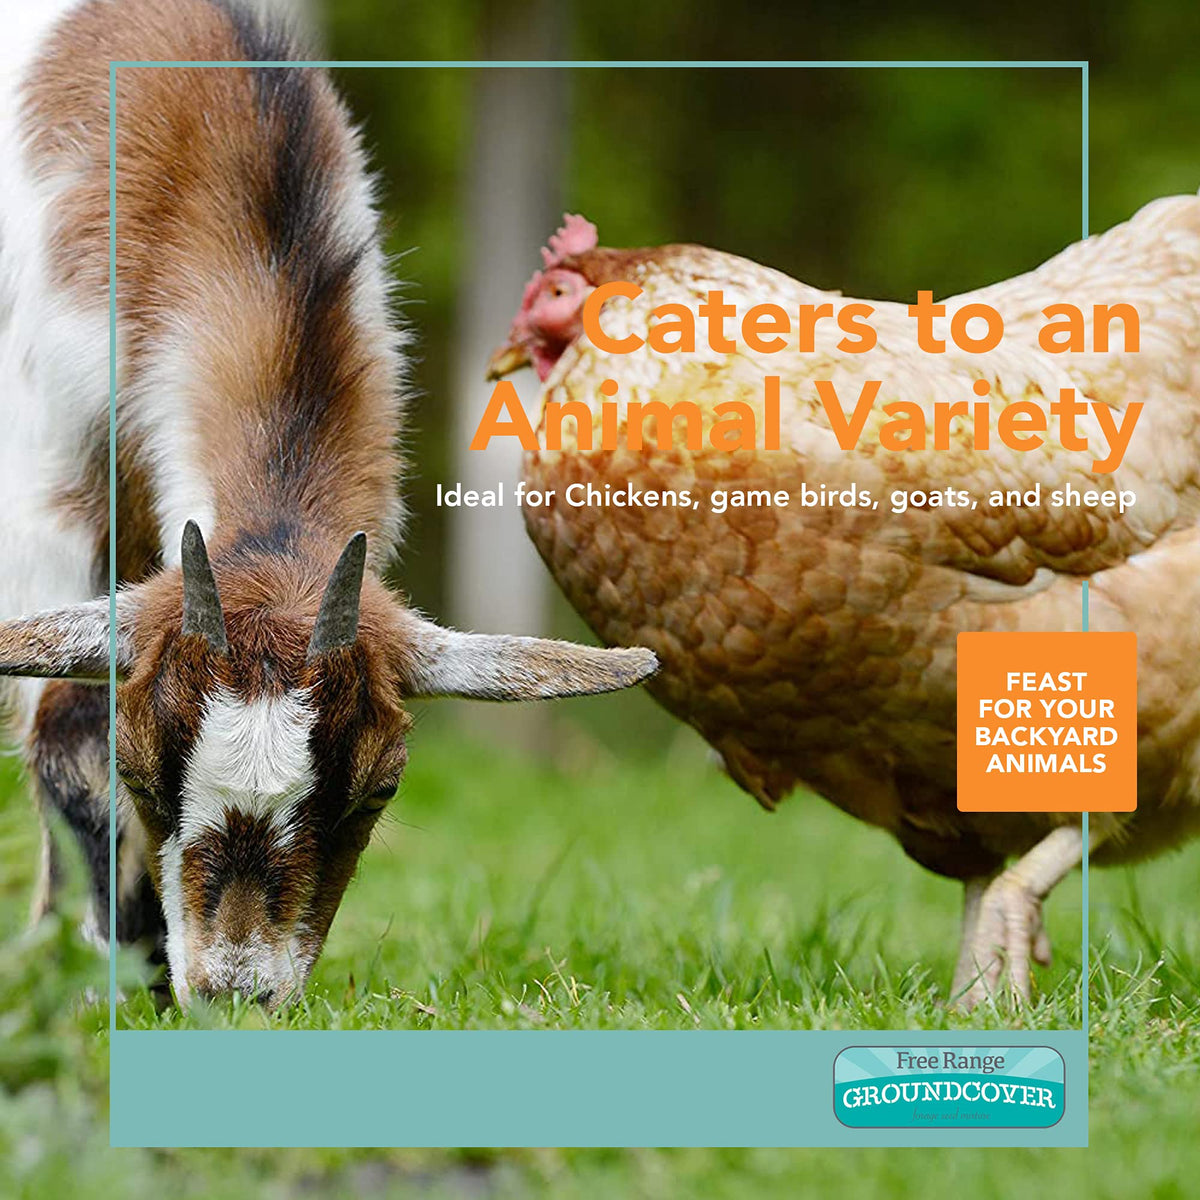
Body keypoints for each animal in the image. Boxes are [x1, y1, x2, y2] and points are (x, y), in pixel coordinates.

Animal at [0, 0, 656, 1007]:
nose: (236, 992)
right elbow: (63, 721)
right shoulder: (48, 486)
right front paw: (75, 981)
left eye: (378, 788)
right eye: (141, 768)